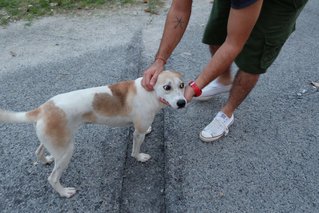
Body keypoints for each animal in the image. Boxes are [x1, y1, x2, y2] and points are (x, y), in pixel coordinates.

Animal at [0, 70, 186, 198]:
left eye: (182, 85)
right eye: (167, 87)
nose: (182, 102)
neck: (150, 92)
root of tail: (43, 108)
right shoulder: (137, 133)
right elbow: (135, 150)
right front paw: (139, 157)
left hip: (53, 142)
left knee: (38, 151)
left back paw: (45, 160)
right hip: (66, 152)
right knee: (52, 178)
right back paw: (64, 192)